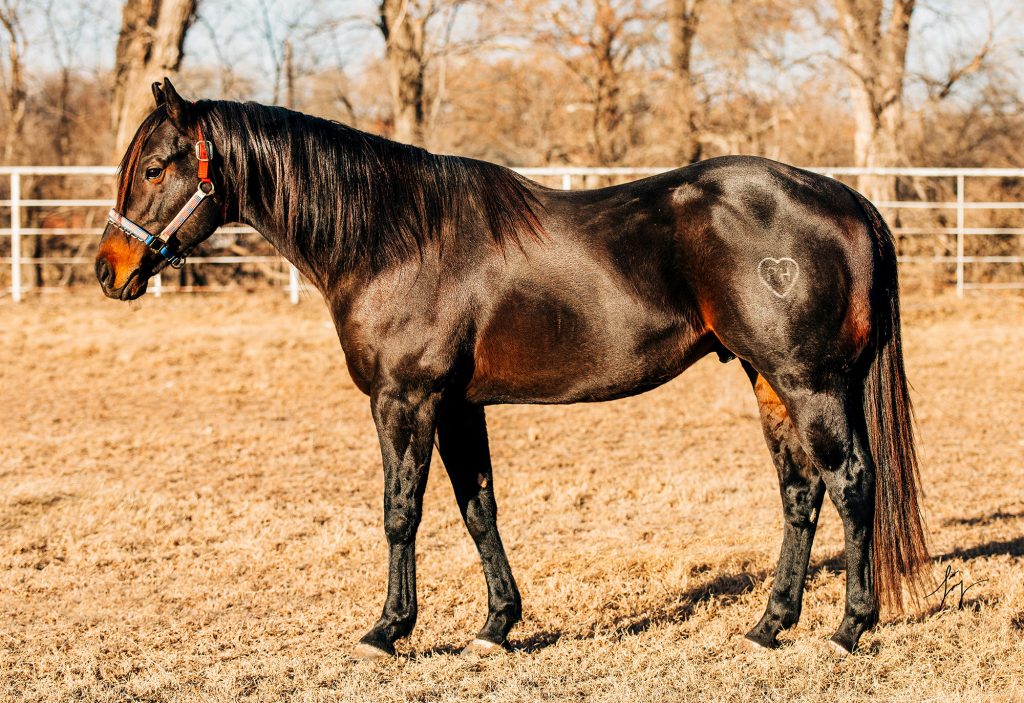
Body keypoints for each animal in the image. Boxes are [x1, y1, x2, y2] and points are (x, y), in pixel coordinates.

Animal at [96, 78, 929, 658]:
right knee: (801, 492)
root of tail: (845, 197)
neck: (396, 237)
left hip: (809, 382)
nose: (110, 269)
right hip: (770, 380)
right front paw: (497, 625)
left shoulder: (406, 400)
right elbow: (479, 509)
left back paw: (847, 629)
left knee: (852, 483)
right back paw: (768, 625)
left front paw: (388, 630)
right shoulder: (460, 406)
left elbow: (401, 511)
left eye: (159, 165)